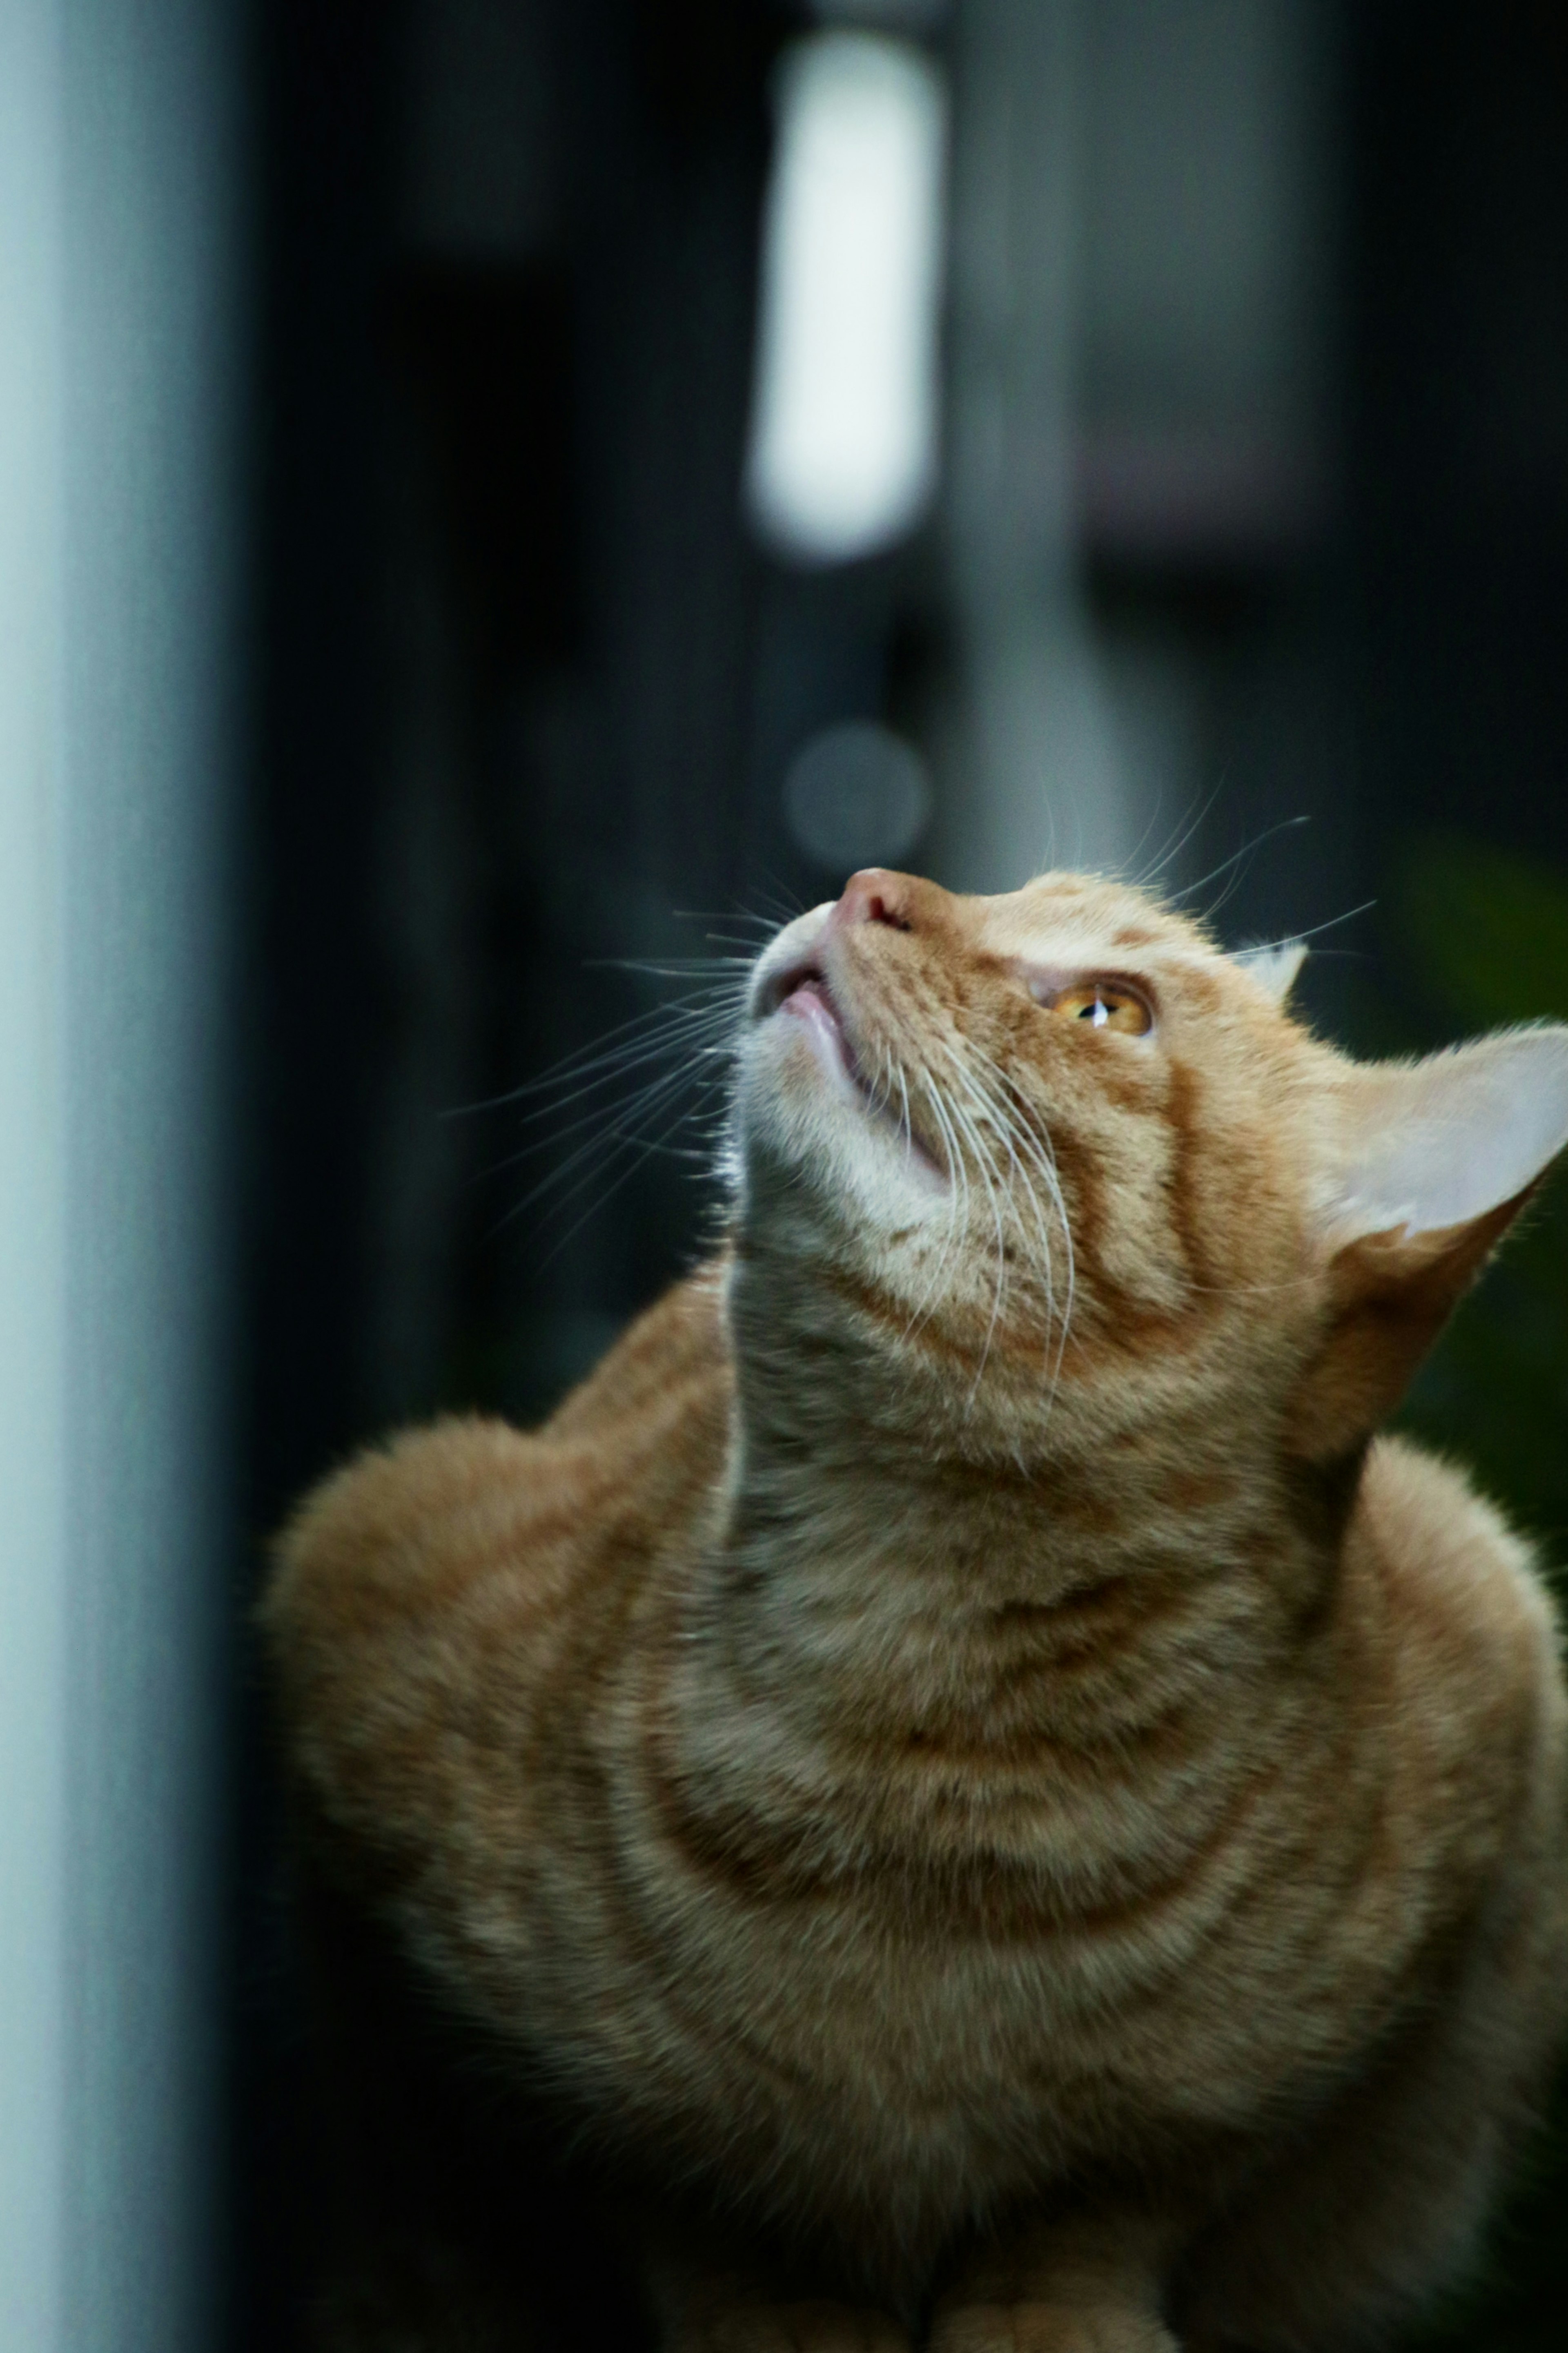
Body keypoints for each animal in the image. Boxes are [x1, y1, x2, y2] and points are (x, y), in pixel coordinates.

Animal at [263, 866, 1568, 2353]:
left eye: (1109, 1010)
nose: (870, 887)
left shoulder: (1491, 1682)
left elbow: (1126, 2189)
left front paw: (1049, 2310)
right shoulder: (362, 1581)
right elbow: (664, 2178)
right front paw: (778, 2310)